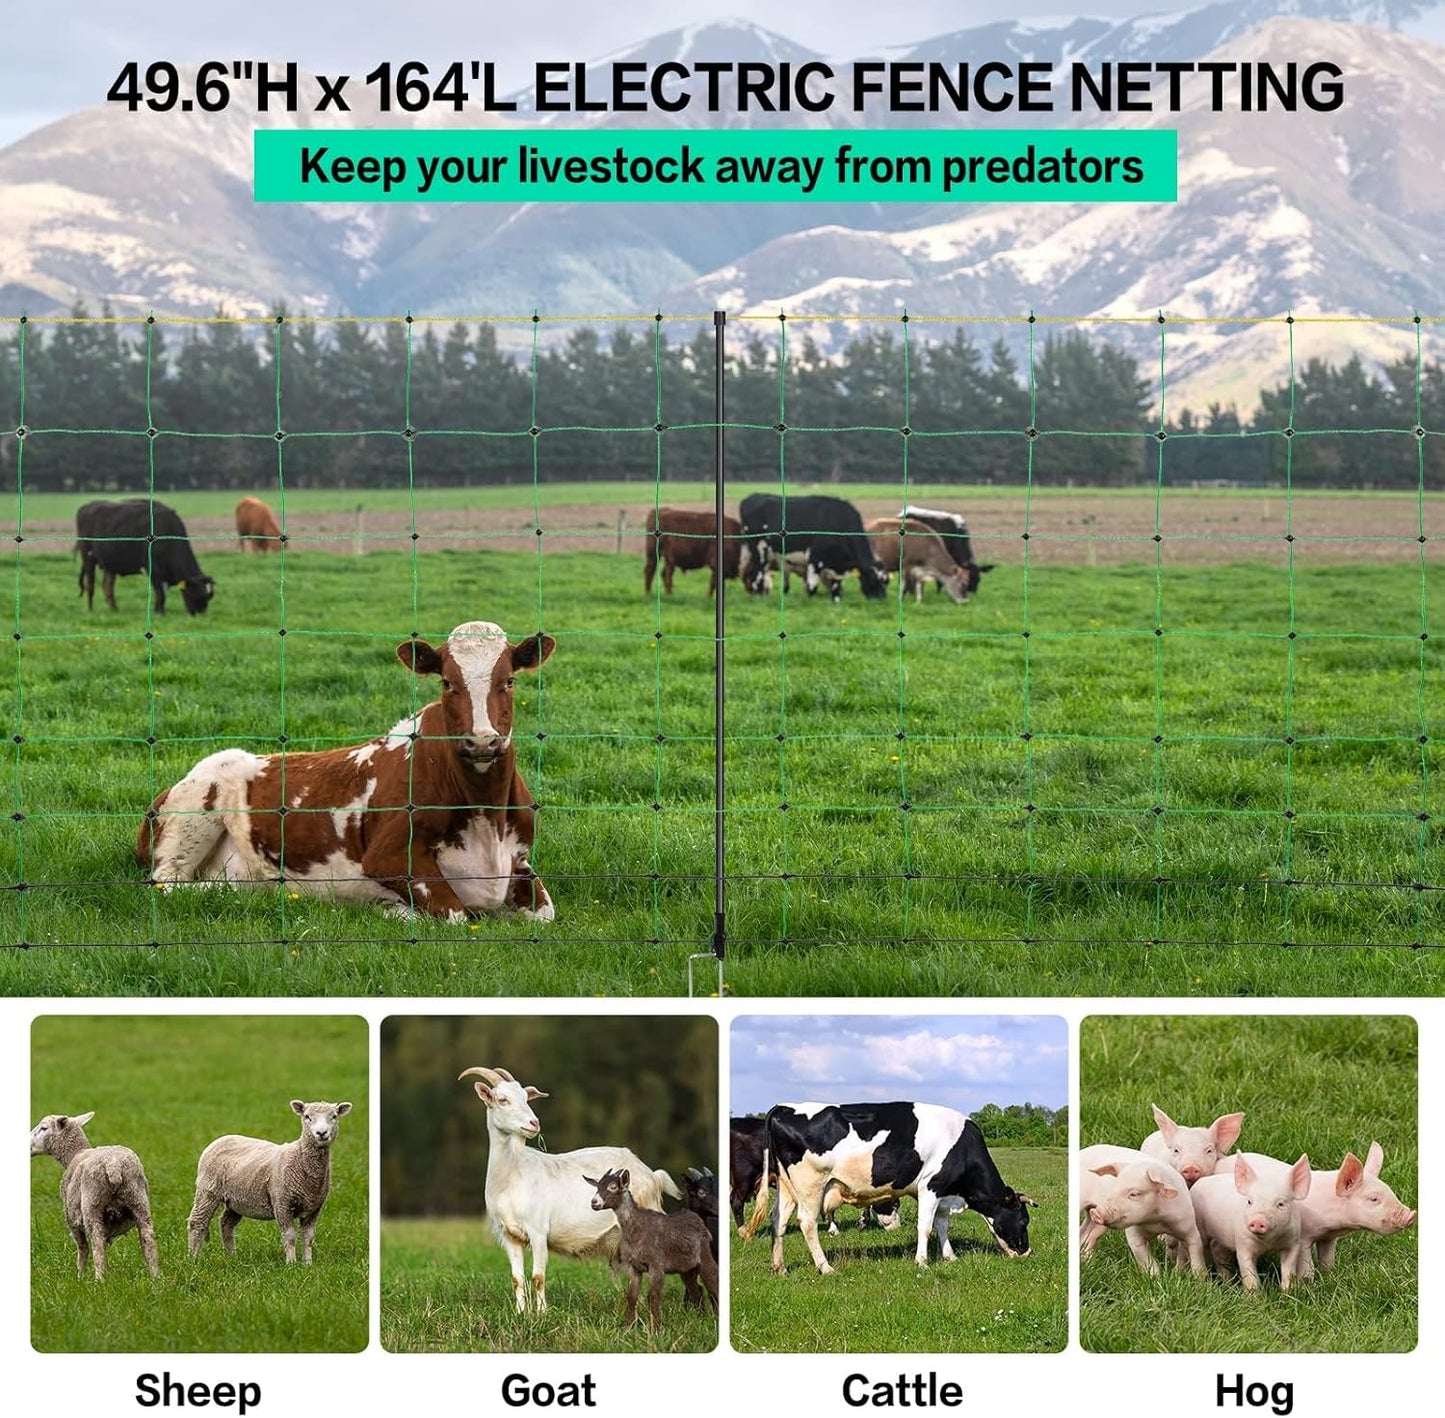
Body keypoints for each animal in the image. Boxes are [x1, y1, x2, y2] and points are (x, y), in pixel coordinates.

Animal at [30, 1111, 160, 1280]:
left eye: (44, 1128)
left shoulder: (71, 1219)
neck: (74, 1154)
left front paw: (80, 1275)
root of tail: (113, 1165)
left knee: (97, 1243)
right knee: (147, 1238)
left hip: (92, 1205)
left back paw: (99, 1279)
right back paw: (156, 1276)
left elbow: (82, 1247)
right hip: (138, 1199)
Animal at [187, 1099, 352, 1264]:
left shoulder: (314, 1207)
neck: (300, 1158)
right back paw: (193, 1259)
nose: (321, 1133)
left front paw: (307, 1264)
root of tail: (221, 1139)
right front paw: (291, 1263)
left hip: (236, 1199)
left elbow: (308, 1237)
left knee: (226, 1223)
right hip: (208, 1189)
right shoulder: (282, 1203)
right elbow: (290, 1236)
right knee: (197, 1222)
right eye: (307, 1117)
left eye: (334, 1116)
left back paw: (231, 1257)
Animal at [458, 1064, 684, 1313]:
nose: (534, 1124)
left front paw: (541, 1314)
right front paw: (520, 1313)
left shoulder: (538, 1231)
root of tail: (651, 1175)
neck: (511, 1176)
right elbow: (517, 1278)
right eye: (502, 1099)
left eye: (526, 1098)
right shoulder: (509, 1234)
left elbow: (538, 1277)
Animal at [586, 1167, 719, 1329]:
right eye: (598, 1187)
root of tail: (697, 1219)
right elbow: (631, 1296)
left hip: (705, 1255)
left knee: (713, 1282)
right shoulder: (633, 1266)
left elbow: (653, 1296)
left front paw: (655, 1328)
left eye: (613, 1187)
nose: (594, 1202)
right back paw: (700, 1319)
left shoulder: (656, 1265)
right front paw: (628, 1327)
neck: (636, 1227)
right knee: (696, 1290)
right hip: (687, 1268)